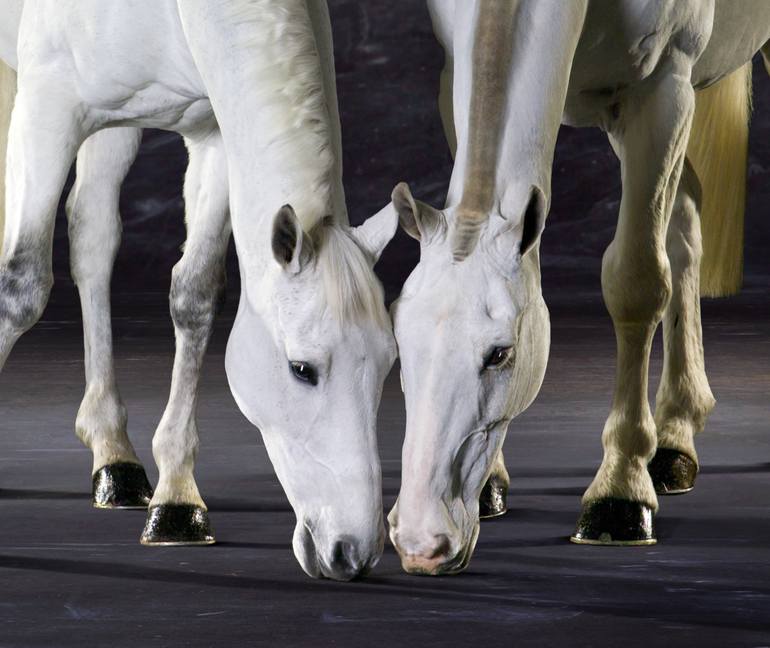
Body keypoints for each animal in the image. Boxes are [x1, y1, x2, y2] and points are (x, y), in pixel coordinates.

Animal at [0, 0, 396, 580]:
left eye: (390, 364)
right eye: (302, 369)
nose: (354, 552)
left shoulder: (214, 133)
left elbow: (195, 294)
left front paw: (177, 500)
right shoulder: (47, 109)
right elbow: (21, 287)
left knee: (92, 233)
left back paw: (114, 457)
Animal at [390, 0, 768, 576]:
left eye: (500, 354)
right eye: (399, 342)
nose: (419, 540)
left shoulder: (663, 91)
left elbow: (636, 281)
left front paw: (621, 492)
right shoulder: (454, 77)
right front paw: (491, 485)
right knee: (685, 219)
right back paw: (677, 435)